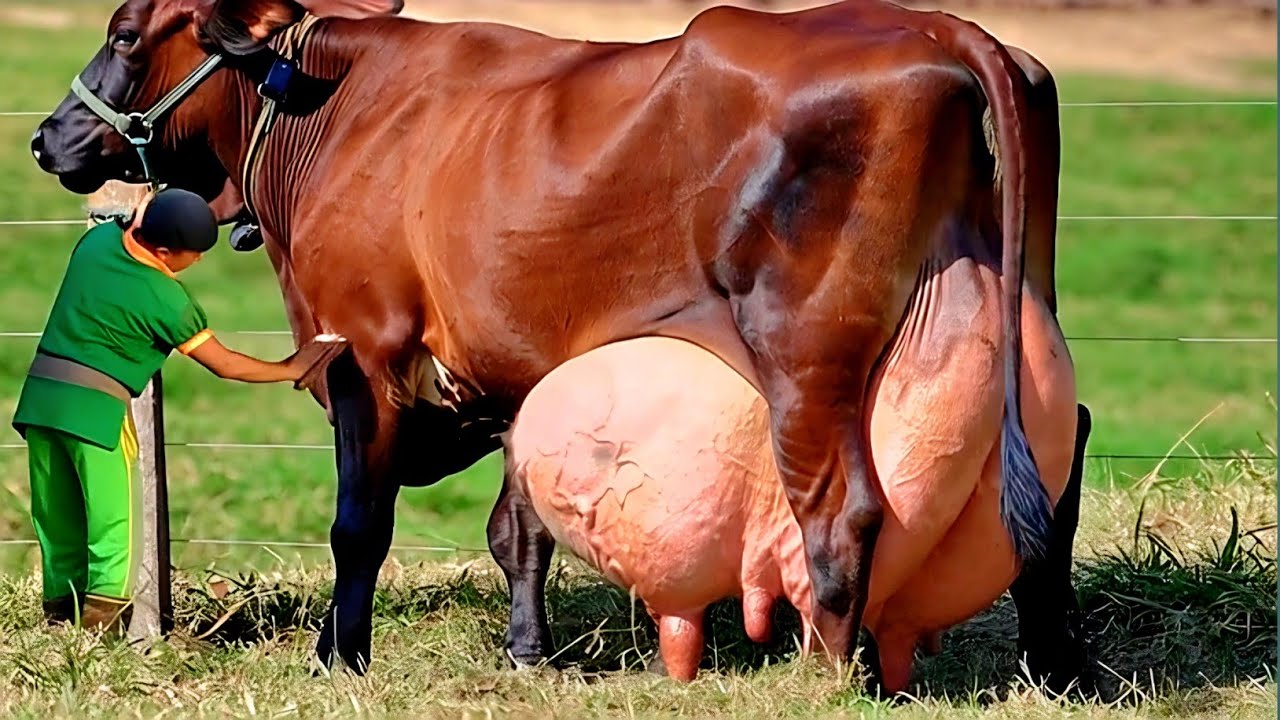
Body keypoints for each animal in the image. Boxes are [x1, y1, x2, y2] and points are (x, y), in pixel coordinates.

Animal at [29, 0, 1088, 690]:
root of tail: (938, 28)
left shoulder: (363, 354)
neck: (334, 108)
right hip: (1024, 321)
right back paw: (1055, 664)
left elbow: (359, 524)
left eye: (126, 34)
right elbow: (518, 527)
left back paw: (822, 679)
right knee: (1055, 470)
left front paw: (340, 656)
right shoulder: (514, 369)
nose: (47, 136)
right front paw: (526, 651)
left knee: (841, 513)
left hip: (806, 354)